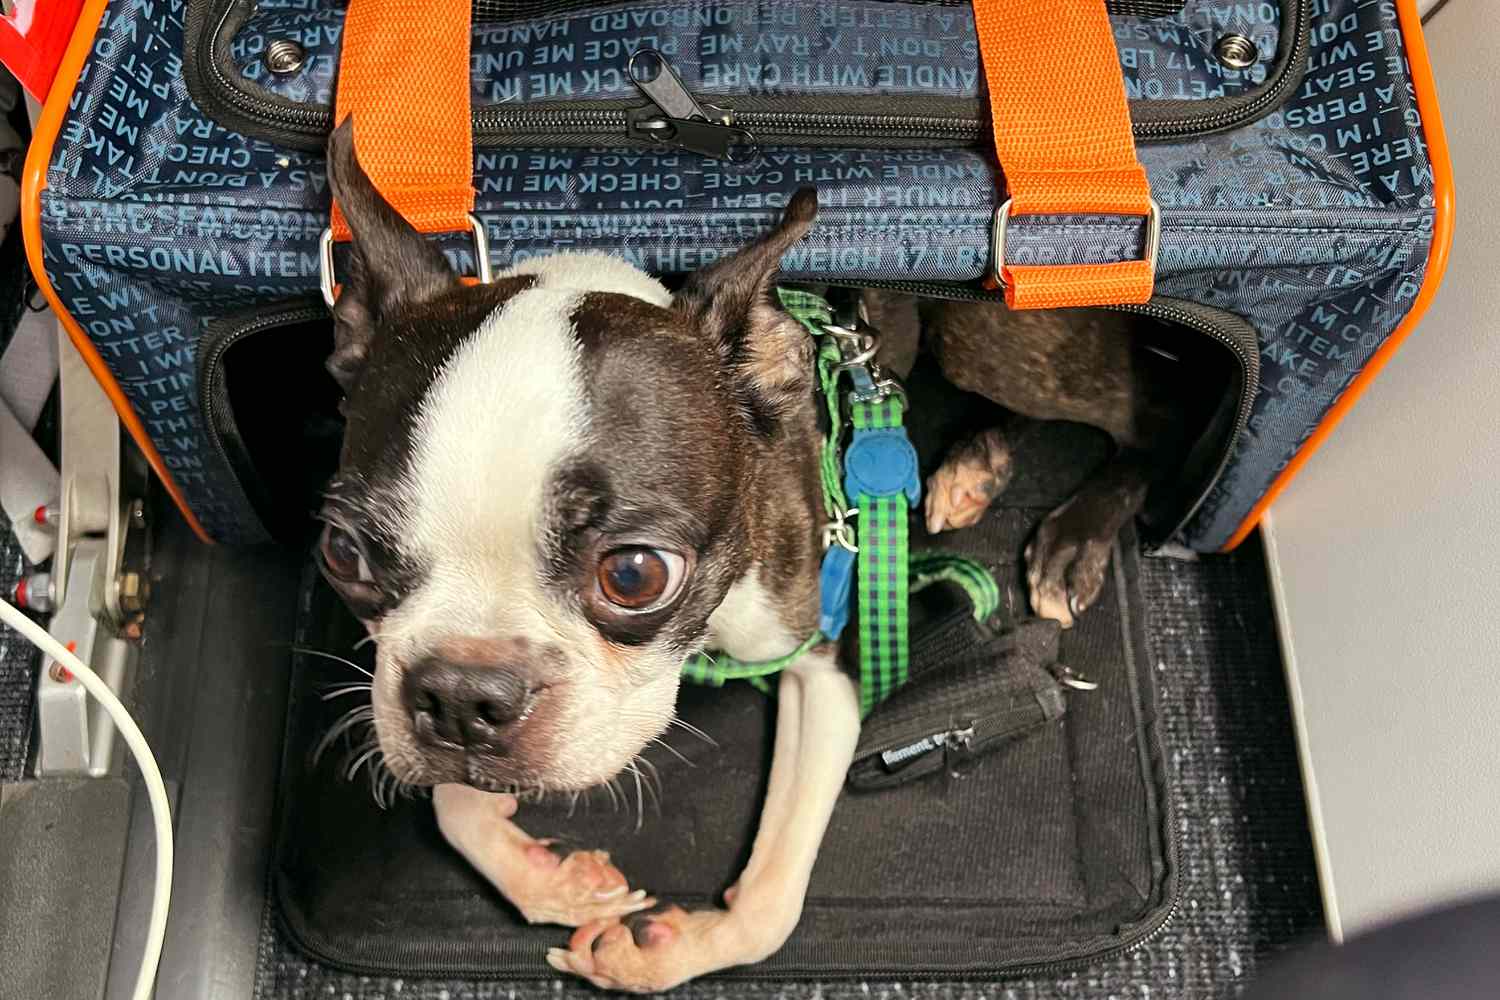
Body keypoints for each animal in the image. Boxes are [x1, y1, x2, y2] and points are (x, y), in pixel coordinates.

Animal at [313, 121, 1182, 989]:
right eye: (343, 553)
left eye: (634, 574)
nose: (464, 696)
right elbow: (447, 798)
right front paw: (545, 875)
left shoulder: (819, 657)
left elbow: (772, 901)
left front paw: (672, 950)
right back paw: (977, 464)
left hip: (985, 335)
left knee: (1139, 415)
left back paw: (1074, 534)